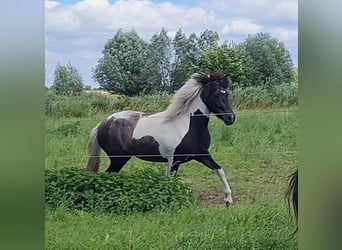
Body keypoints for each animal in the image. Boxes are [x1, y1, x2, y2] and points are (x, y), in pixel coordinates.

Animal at [87, 71, 236, 206]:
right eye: (216, 94)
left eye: (227, 94)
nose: (231, 118)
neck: (187, 126)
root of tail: (102, 124)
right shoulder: (174, 161)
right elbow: (170, 182)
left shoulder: (202, 154)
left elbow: (219, 170)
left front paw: (228, 199)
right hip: (118, 159)